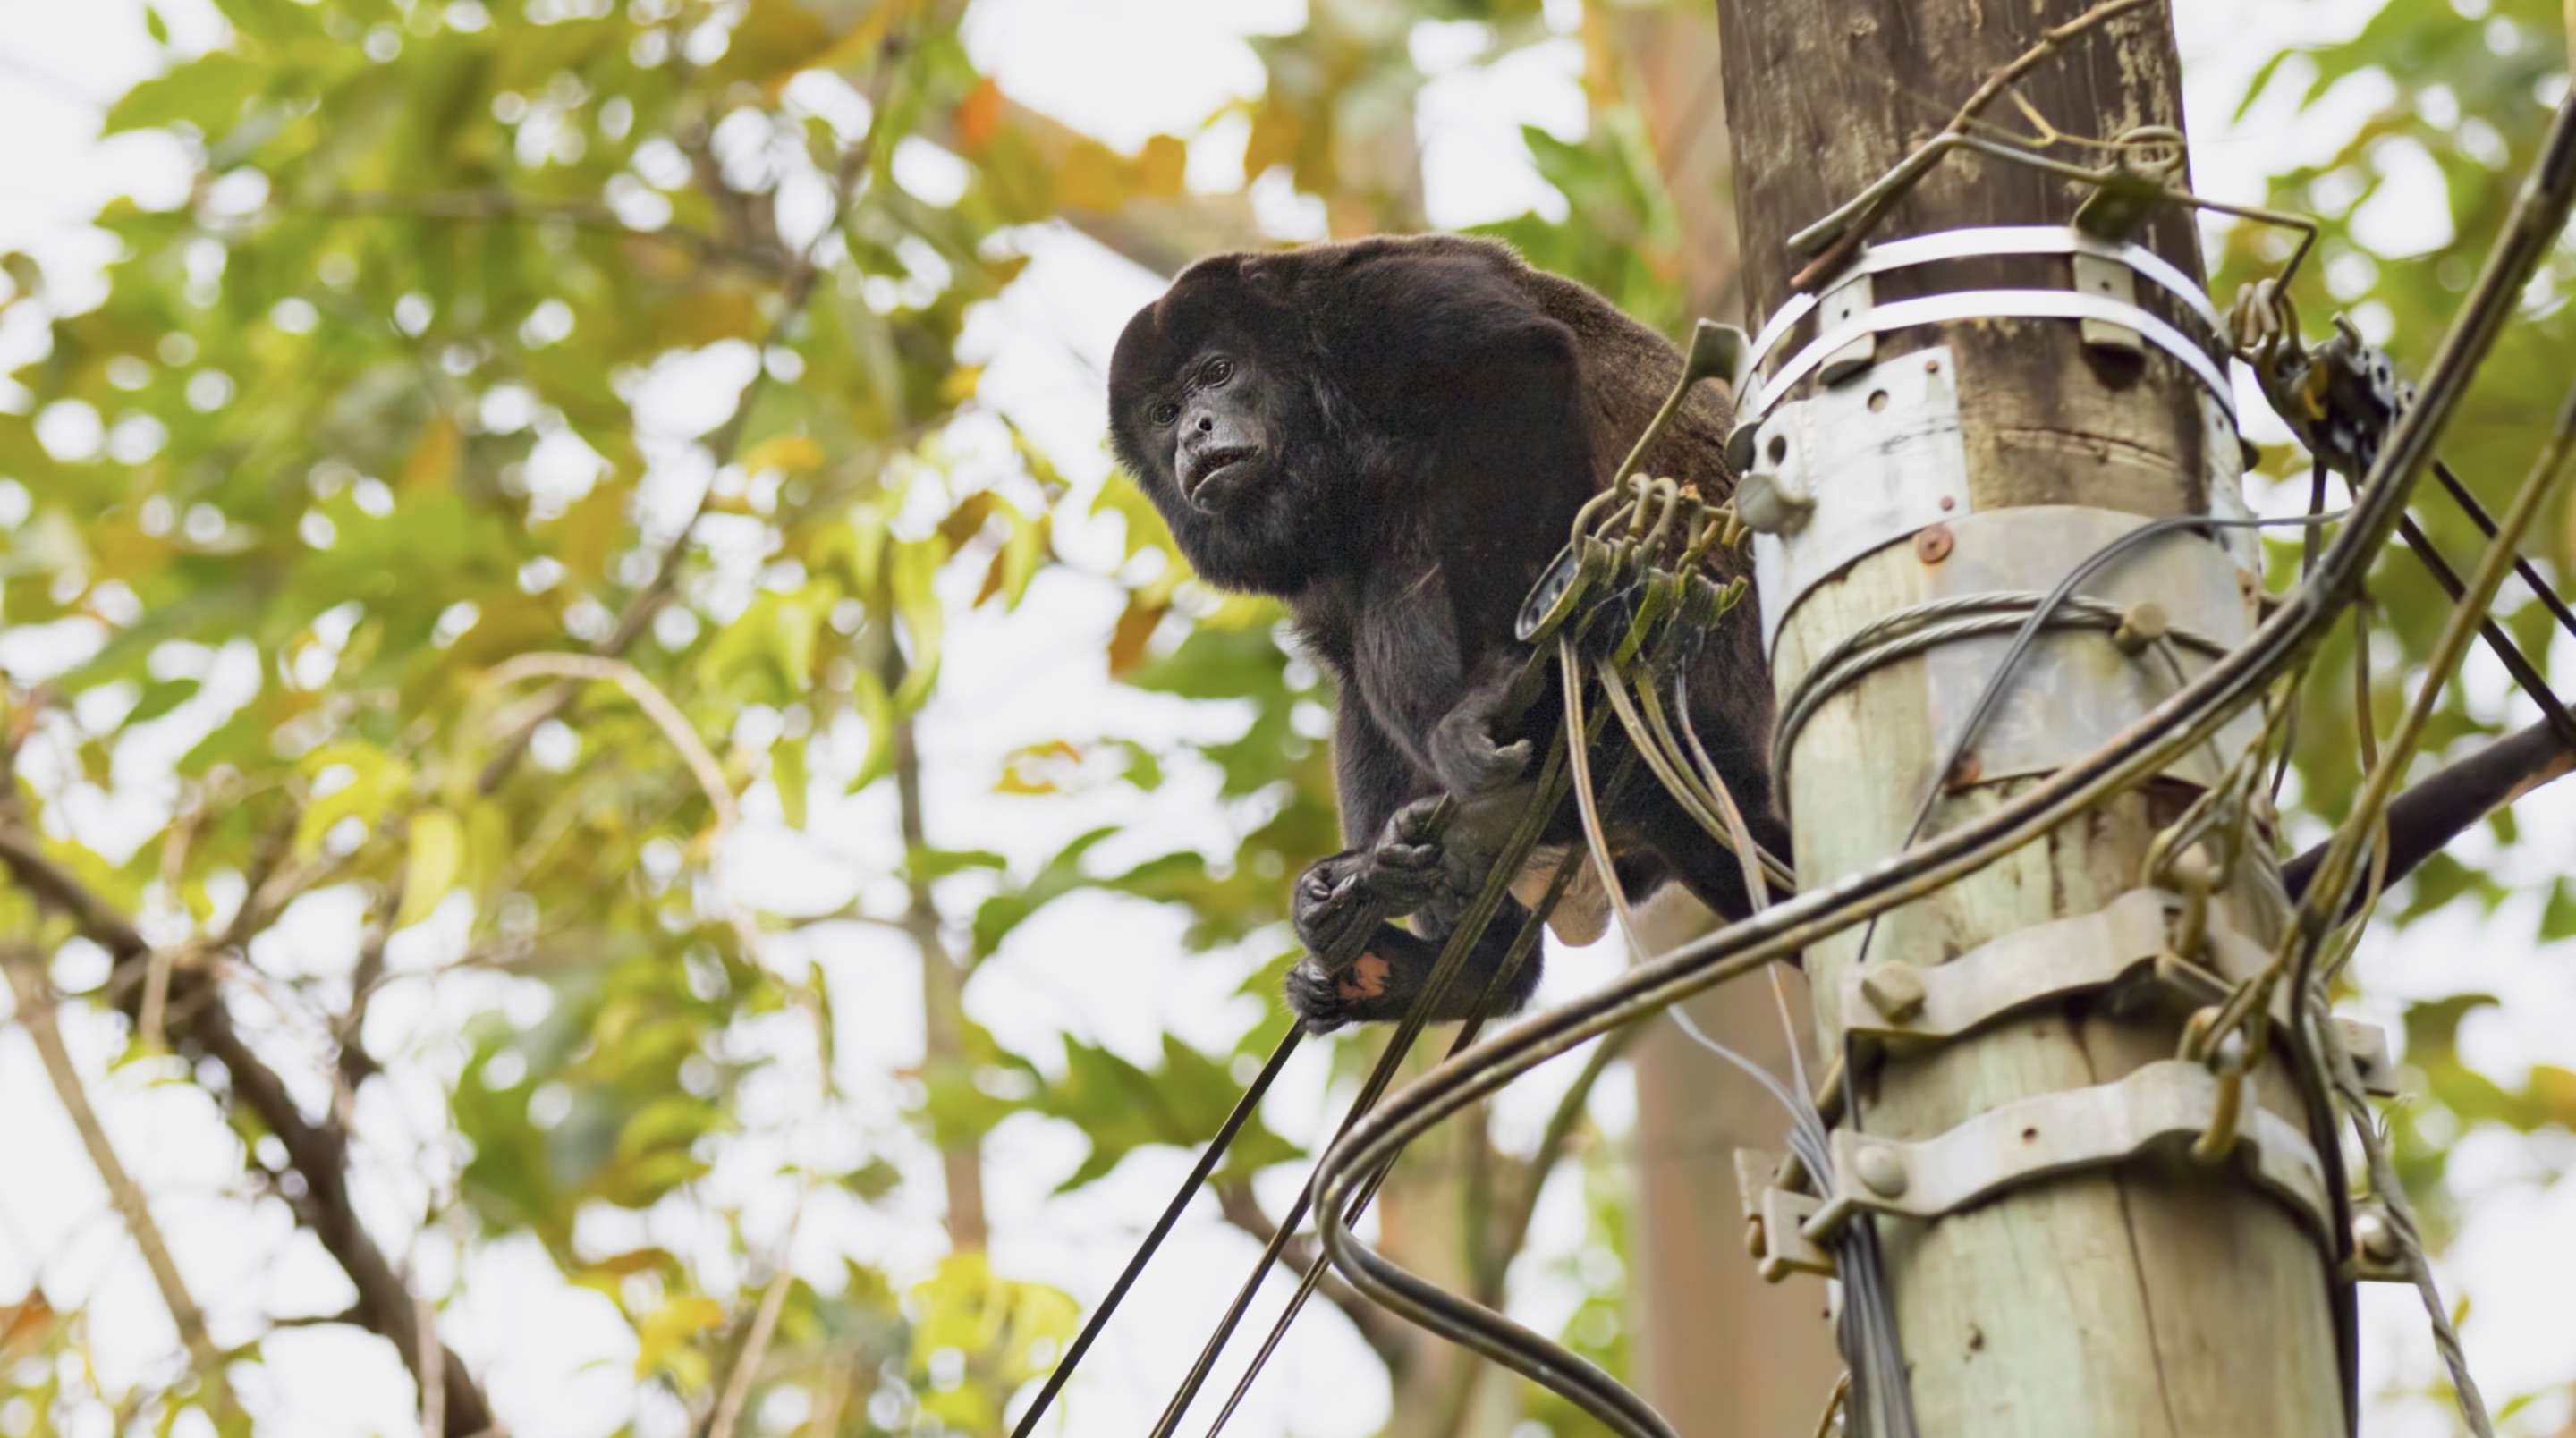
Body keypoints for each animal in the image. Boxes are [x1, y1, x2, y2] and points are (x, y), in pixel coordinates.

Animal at [1097, 237, 1782, 1030]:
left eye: (1217, 372)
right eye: (1163, 412)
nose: (1194, 431)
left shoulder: (1365, 313)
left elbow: (1516, 364)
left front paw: (1518, 668)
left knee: (1412, 510)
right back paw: (1428, 943)